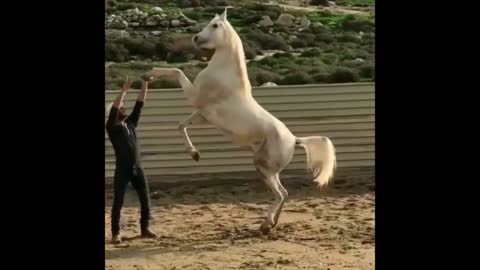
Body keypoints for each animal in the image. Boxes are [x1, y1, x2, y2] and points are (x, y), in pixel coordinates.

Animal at [144, 8, 336, 234]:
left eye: (215, 25)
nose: (196, 38)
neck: (224, 75)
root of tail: (295, 139)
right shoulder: (202, 114)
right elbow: (181, 125)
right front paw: (194, 154)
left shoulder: (195, 98)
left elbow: (177, 71)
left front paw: (149, 75)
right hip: (269, 170)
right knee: (284, 193)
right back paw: (273, 223)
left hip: (263, 166)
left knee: (280, 193)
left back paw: (266, 223)